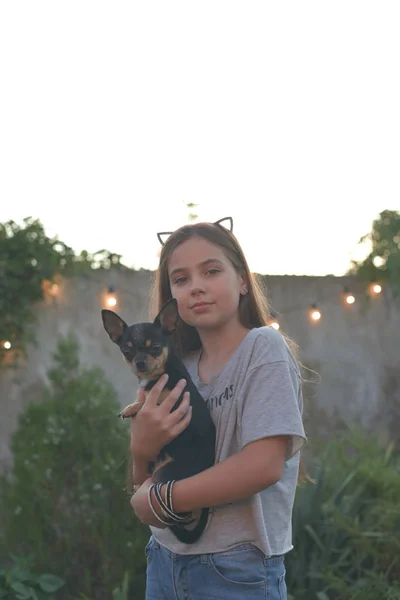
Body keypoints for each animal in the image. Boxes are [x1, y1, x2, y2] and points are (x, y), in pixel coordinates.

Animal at [102, 298, 216, 544]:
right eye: (127, 351)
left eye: (154, 347)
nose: (140, 362)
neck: (155, 378)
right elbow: (143, 400)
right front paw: (132, 407)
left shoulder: (174, 401)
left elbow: (148, 402)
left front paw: (136, 406)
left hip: (164, 475)